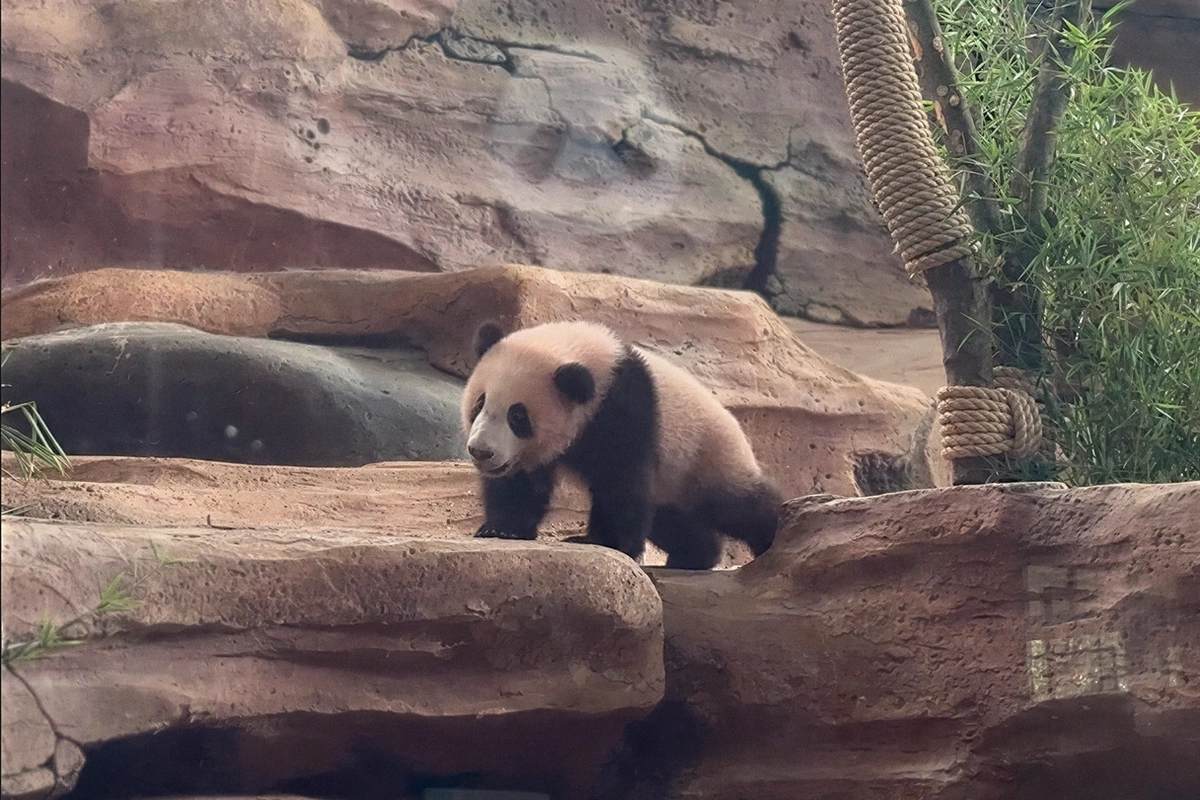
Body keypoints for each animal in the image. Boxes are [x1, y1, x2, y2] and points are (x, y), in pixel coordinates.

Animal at [461, 320, 781, 569]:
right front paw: (502, 529)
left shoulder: (624, 408)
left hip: (706, 457)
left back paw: (776, 534)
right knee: (672, 520)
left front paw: (604, 541)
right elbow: (521, 485)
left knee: (741, 507)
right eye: (479, 403)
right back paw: (696, 555)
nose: (481, 452)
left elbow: (620, 479)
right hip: (673, 484)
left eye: (517, 416)